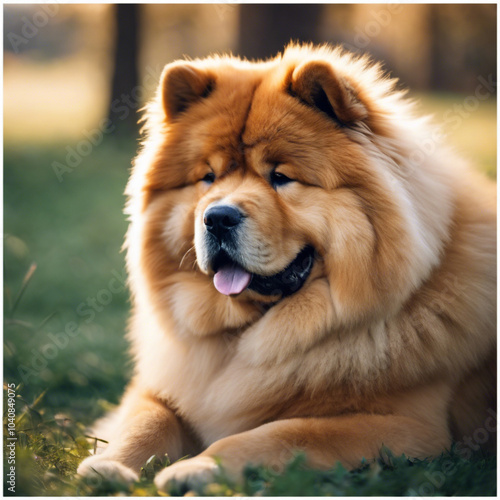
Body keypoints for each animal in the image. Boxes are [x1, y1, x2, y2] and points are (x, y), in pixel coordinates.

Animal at [78, 45, 496, 490]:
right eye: (208, 177)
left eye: (280, 177)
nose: (218, 217)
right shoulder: (164, 388)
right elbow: (144, 421)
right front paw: (108, 466)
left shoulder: (408, 426)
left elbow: (281, 433)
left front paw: (198, 468)